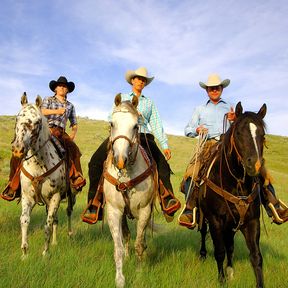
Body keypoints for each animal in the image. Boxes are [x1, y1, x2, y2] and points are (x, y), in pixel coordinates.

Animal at [12, 93, 75, 258]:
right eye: (17, 118)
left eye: (37, 122)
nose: (18, 149)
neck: (38, 165)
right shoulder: (28, 196)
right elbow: (25, 220)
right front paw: (24, 253)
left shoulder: (55, 196)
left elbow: (47, 225)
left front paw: (45, 253)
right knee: (56, 219)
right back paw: (54, 242)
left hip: (69, 195)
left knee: (67, 212)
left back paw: (69, 234)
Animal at [104, 94, 158, 288]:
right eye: (112, 123)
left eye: (135, 125)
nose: (120, 160)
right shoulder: (113, 211)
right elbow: (118, 248)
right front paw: (120, 279)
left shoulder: (145, 210)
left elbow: (139, 245)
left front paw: (140, 273)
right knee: (126, 236)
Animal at [199, 102, 266, 288]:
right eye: (238, 133)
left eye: (263, 135)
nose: (254, 165)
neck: (236, 184)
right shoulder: (215, 220)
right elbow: (219, 251)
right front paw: (221, 279)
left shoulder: (251, 221)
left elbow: (256, 256)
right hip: (204, 216)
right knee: (203, 233)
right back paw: (202, 254)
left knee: (230, 245)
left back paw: (230, 269)